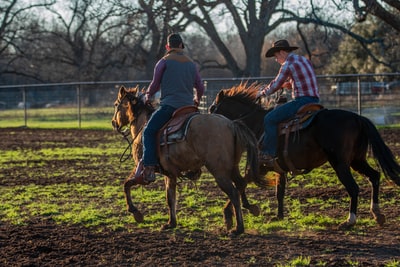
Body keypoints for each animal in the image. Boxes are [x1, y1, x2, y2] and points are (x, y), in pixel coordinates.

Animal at [111, 86, 268, 237]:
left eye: (116, 104)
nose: (113, 122)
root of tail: (231, 124)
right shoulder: (170, 173)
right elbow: (170, 197)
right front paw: (171, 223)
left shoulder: (142, 168)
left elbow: (126, 184)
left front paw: (135, 212)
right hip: (232, 167)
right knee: (241, 183)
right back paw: (246, 210)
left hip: (219, 171)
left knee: (234, 192)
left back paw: (237, 227)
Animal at [208, 84, 400, 230]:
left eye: (212, 108)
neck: (256, 124)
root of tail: (358, 118)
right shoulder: (278, 168)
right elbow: (279, 192)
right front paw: (279, 216)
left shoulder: (260, 165)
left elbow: (242, 183)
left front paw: (232, 214)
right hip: (356, 160)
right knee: (374, 176)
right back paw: (377, 214)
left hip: (340, 163)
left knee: (353, 188)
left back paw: (349, 221)